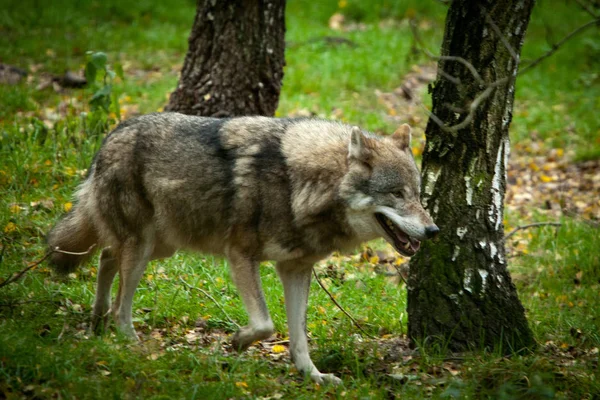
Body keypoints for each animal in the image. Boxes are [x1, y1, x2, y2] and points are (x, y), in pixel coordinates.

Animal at [47, 113, 438, 384]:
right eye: (397, 194)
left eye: (418, 195)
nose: (433, 230)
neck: (302, 186)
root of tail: (112, 133)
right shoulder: (240, 255)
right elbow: (265, 324)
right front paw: (238, 342)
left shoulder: (295, 269)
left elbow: (299, 337)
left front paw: (312, 375)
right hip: (143, 248)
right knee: (120, 299)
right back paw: (127, 338)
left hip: (161, 247)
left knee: (105, 257)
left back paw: (98, 320)